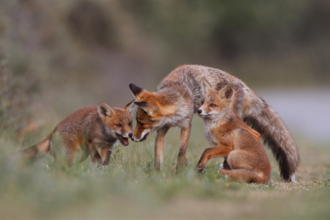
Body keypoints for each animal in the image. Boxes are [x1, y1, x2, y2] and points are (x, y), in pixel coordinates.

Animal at [128, 64, 300, 181]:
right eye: (136, 122)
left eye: (141, 123)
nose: (132, 137)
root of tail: (242, 84)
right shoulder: (162, 130)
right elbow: (158, 157)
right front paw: (157, 177)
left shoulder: (186, 125)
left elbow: (181, 153)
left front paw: (180, 174)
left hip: (232, 116)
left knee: (254, 133)